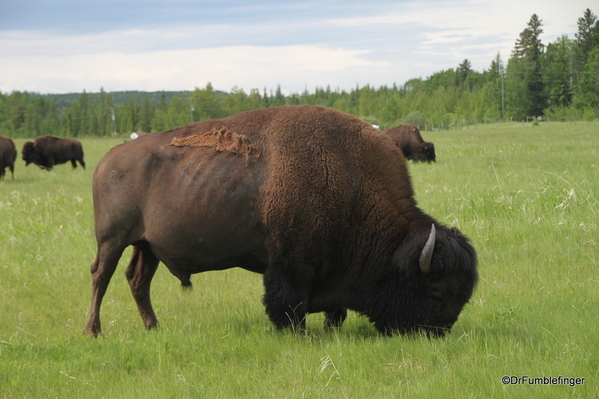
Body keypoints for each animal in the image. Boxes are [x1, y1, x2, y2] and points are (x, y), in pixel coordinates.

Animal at [84, 105, 478, 338]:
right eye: (437, 289)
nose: (439, 332)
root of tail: (107, 160)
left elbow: (331, 307)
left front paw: (330, 327)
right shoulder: (291, 263)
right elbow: (289, 301)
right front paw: (296, 332)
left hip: (147, 245)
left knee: (137, 280)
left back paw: (154, 328)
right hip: (113, 239)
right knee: (101, 276)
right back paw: (93, 331)